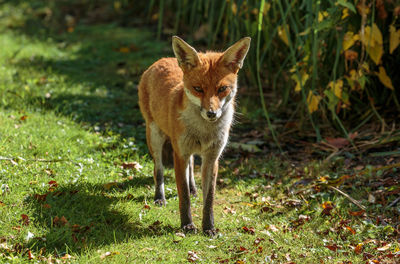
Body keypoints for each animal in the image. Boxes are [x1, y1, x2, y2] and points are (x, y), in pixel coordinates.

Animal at [138, 35, 250, 235]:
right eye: (198, 88)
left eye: (222, 89)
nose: (212, 113)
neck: (204, 131)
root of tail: (163, 59)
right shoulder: (179, 154)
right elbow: (183, 197)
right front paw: (187, 225)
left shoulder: (212, 158)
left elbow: (209, 199)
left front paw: (209, 227)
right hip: (155, 137)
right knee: (158, 169)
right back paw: (160, 197)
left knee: (190, 166)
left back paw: (193, 188)